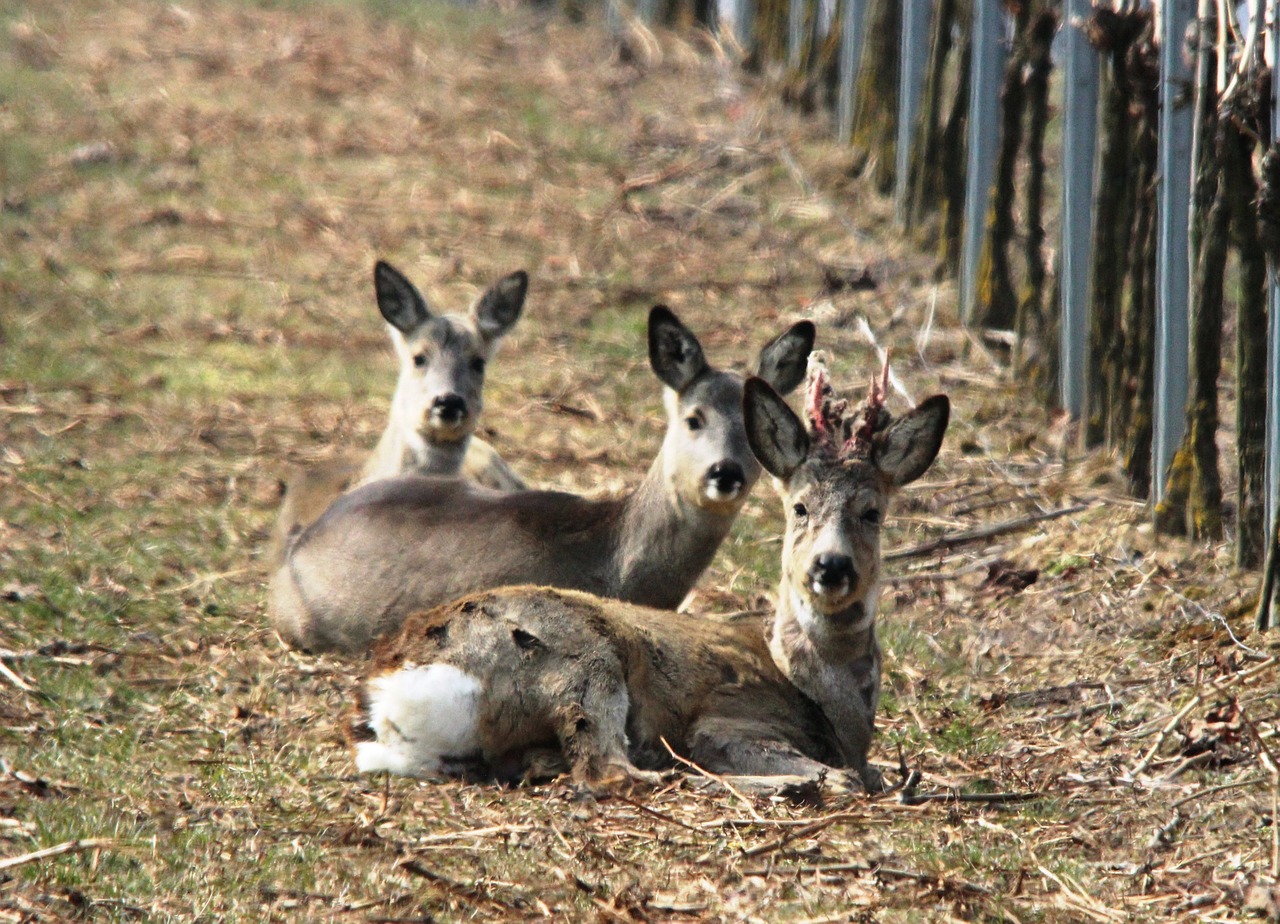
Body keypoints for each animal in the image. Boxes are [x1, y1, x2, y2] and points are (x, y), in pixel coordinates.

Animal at [350, 355, 952, 788]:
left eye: (872, 512)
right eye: (799, 507)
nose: (831, 565)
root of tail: (397, 684)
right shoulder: (728, 718)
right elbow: (845, 778)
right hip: (578, 658)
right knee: (609, 772)